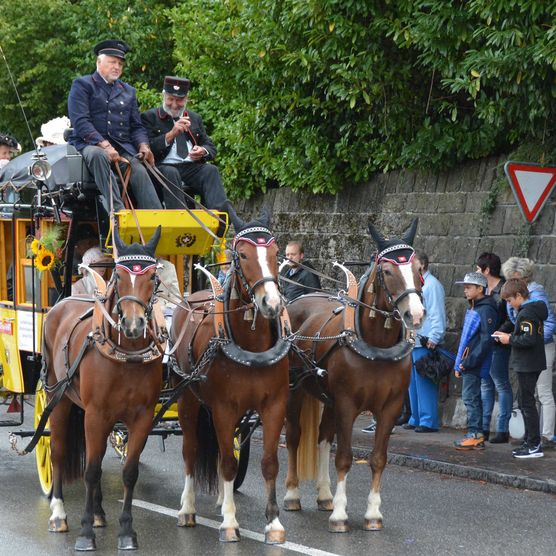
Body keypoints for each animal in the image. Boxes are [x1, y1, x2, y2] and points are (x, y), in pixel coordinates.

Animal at [41, 226, 164, 552]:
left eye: (153, 278)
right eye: (118, 277)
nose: (133, 325)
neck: (127, 355)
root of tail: (62, 303)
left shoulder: (141, 417)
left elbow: (129, 472)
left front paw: (127, 531)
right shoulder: (96, 413)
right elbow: (91, 470)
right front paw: (85, 533)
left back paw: (97, 512)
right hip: (58, 398)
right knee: (58, 451)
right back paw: (58, 514)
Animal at [172, 208, 288, 544]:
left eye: (276, 253)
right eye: (243, 254)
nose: (271, 303)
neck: (251, 346)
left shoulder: (274, 406)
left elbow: (268, 463)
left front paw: (274, 523)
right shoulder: (223, 408)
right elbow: (225, 462)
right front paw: (230, 523)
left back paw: (223, 499)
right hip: (187, 399)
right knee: (190, 450)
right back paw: (188, 509)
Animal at [284, 219, 424, 532]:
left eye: (419, 268)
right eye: (388, 271)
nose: (416, 314)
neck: (376, 347)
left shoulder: (390, 408)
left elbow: (378, 459)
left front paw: (372, 514)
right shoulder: (347, 404)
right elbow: (345, 458)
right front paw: (340, 515)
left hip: (327, 398)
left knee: (323, 438)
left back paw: (325, 495)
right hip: (295, 390)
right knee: (294, 437)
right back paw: (292, 495)